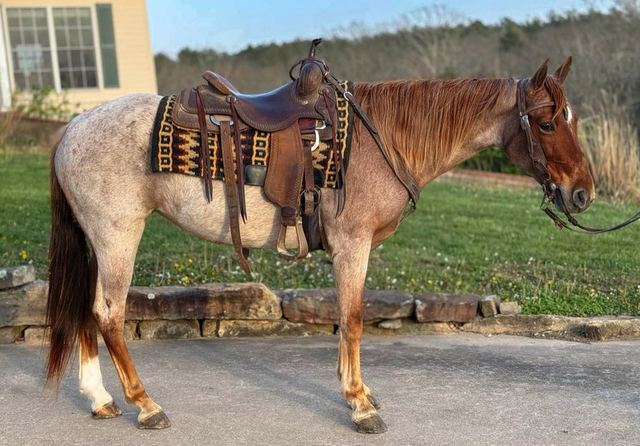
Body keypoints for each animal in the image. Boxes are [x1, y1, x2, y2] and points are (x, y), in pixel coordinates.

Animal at [45, 57, 594, 433]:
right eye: (547, 123)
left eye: (572, 120)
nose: (583, 193)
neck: (380, 140)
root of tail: (72, 128)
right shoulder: (352, 243)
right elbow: (351, 318)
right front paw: (359, 404)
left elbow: (346, 317)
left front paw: (360, 392)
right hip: (118, 236)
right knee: (109, 313)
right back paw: (145, 405)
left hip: (98, 240)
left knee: (85, 309)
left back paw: (99, 398)